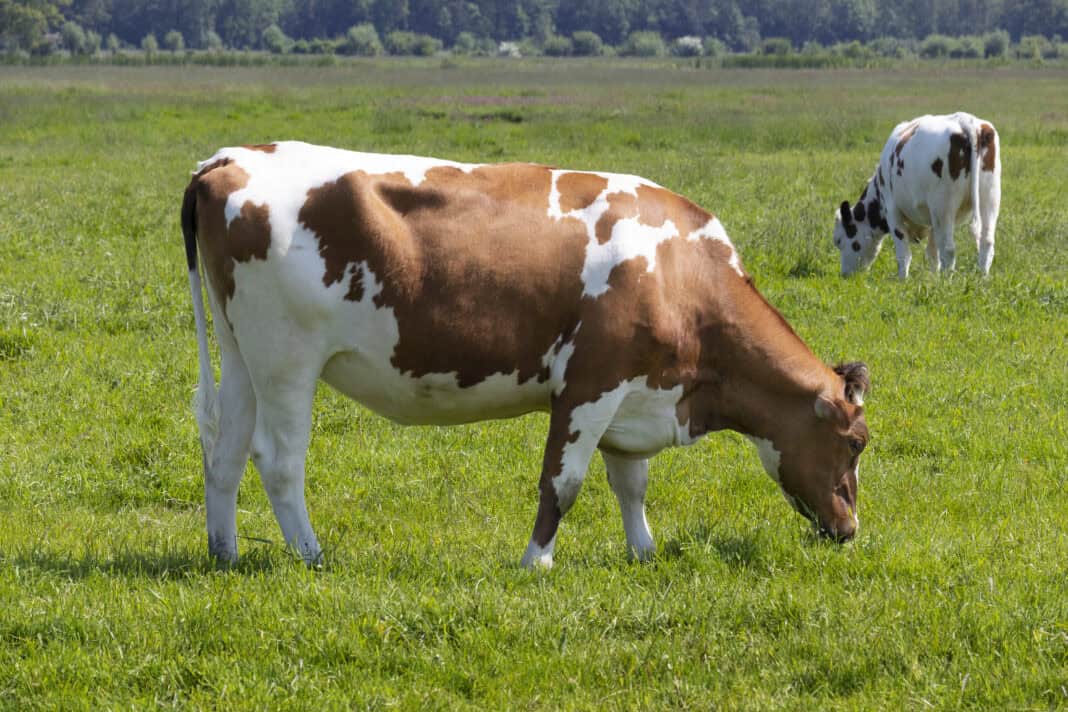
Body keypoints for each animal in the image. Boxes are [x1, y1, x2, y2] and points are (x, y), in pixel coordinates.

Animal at [181, 141, 871, 569]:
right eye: (856, 444)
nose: (850, 531)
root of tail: (228, 159)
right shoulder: (591, 382)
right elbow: (561, 483)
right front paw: (536, 560)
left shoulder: (636, 391)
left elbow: (632, 483)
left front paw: (643, 551)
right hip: (287, 359)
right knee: (278, 462)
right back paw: (313, 555)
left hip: (241, 357)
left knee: (225, 453)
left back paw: (225, 552)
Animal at [833, 112, 1001, 278]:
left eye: (839, 241)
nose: (844, 275)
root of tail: (966, 120)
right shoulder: (933, 221)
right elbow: (932, 253)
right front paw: (933, 278)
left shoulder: (892, 210)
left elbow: (903, 253)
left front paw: (903, 279)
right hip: (990, 198)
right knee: (986, 242)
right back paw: (982, 277)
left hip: (943, 206)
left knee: (948, 249)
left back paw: (948, 281)